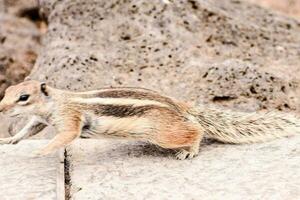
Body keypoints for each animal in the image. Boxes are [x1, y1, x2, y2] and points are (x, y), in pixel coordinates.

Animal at [0, 80, 298, 160]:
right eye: (7, 90)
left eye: (23, 97)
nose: (1, 108)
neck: (55, 102)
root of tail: (178, 104)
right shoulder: (40, 120)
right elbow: (28, 130)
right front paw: (9, 139)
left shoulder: (70, 119)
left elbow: (65, 136)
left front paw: (40, 151)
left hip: (162, 134)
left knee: (196, 130)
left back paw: (190, 150)